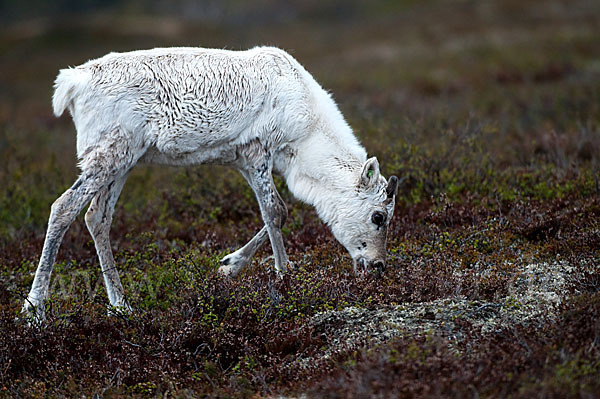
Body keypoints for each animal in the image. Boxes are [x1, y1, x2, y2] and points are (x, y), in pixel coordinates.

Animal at [23, 47, 398, 322]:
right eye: (378, 216)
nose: (379, 267)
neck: (307, 136)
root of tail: (72, 83)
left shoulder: (244, 160)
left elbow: (277, 213)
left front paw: (229, 266)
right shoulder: (257, 152)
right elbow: (275, 211)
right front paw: (284, 279)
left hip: (123, 160)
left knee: (97, 217)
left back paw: (120, 305)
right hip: (109, 153)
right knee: (64, 207)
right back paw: (35, 309)